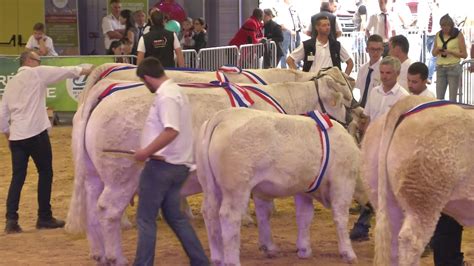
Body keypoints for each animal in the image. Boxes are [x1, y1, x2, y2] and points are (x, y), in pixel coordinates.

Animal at [196, 107, 362, 264]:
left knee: (210, 213)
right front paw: (348, 253)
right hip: (236, 188)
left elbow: (304, 216)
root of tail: (223, 115)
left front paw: (304, 249)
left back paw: (217, 258)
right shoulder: (343, 181)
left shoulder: (303, 189)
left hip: (210, 185)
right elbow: (340, 217)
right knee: (229, 216)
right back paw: (232, 261)